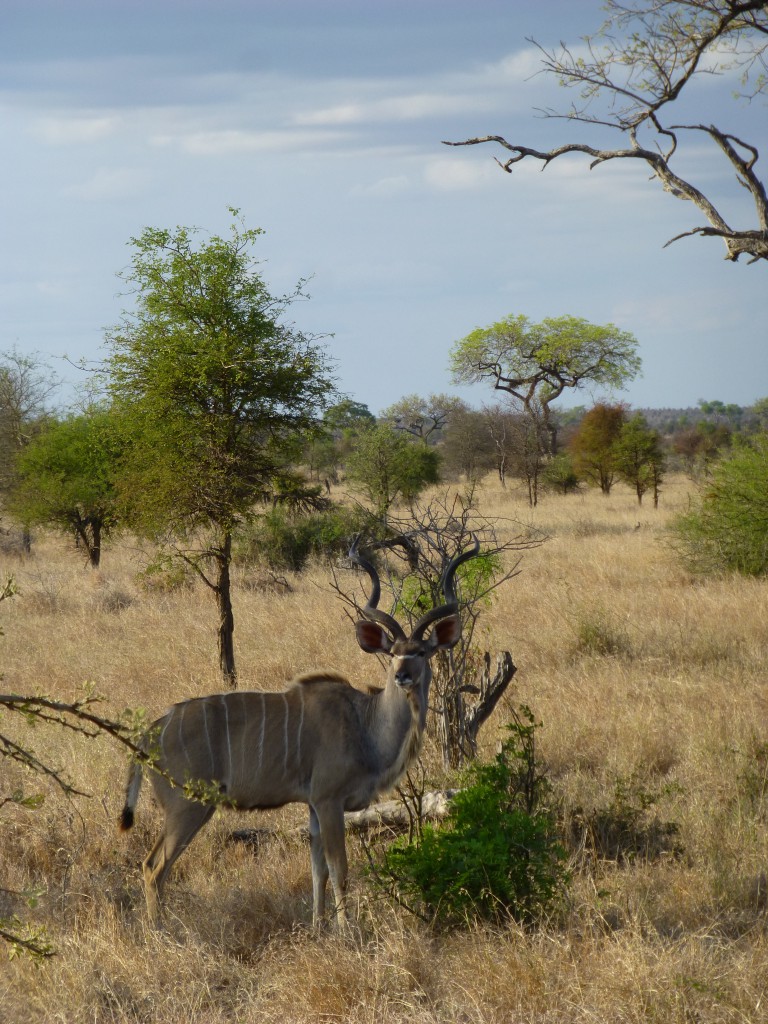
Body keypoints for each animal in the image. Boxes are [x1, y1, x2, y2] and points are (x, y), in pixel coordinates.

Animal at [120, 536, 481, 929]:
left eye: (422, 652)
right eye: (393, 654)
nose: (402, 676)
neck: (365, 723)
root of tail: (150, 732)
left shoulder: (312, 806)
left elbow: (317, 871)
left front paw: (318, 927)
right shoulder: (329, 800)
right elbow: (339, 869)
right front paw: (345, 930)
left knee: (153, 866)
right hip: (188, 805)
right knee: (154, 867)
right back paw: (161, 933)